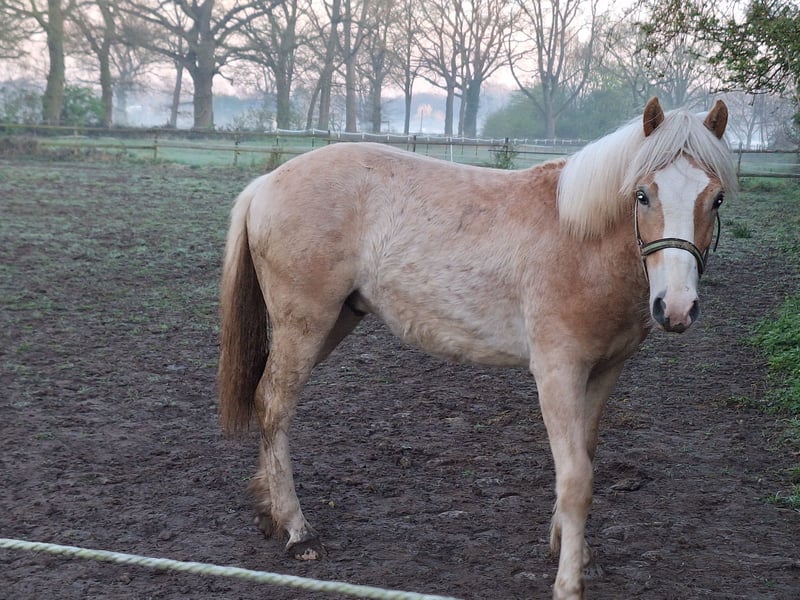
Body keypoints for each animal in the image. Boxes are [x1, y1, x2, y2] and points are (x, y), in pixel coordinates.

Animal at [217, 97, 736, 600]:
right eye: (643, 194)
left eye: (716, 198)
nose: (676, 307)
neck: (580, 241)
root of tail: (266, 183)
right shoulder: (557, 372)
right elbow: (575, 480)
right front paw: (568, 582)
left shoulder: (604, 372)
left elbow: (584, 457)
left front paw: (572, 549)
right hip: (304, 326)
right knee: (275, 405)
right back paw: (297, 530)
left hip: (332, 324)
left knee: (267, 400)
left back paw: (269, 513)